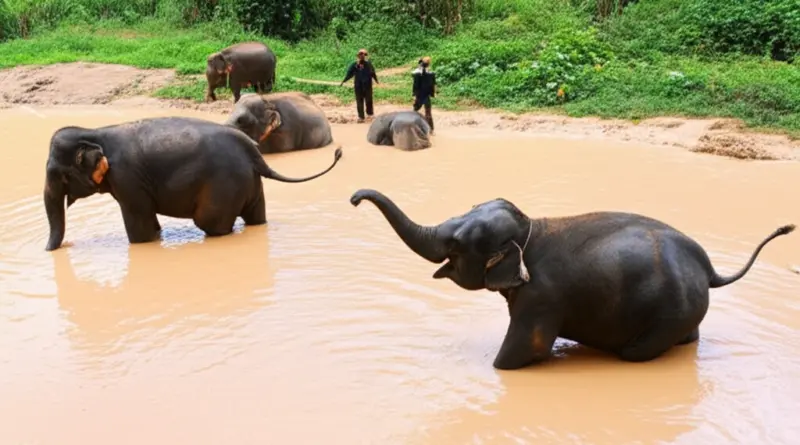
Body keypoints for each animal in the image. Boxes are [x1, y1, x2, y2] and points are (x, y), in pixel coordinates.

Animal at [43, 116, 344, 251]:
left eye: (61, 176)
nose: (53, 251)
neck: (95, 132)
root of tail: (254, 152)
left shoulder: (127, 179)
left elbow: (139, 228)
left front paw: (144, 244)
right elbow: (151, 223)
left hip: (224, 185)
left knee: (211, 223)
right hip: (250, 184)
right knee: (256, 218)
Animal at [349, 189, 796, 370]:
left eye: (457, 244)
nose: (353, 199)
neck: (530, 228)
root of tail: (709, 270)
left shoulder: (540, 297)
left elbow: (526, 347)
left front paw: (496, 368)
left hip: (668, 313)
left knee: (636, 353)